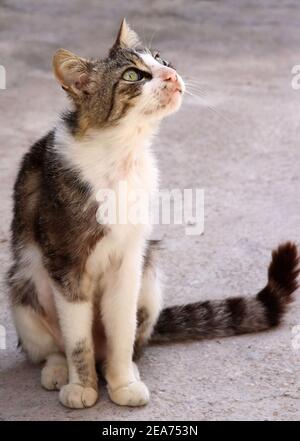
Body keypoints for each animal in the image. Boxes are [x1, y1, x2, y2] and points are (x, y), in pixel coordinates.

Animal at [8, 18, 298, 408]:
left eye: (160, 59)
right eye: (133, 75)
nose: (172, 74)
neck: (121, 156)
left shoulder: (130, 261)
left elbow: (121, 331)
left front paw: (120, 382)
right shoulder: (66, 263)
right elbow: (78, 340)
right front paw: (82, 386)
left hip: (150, 276)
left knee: (132, 341)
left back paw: (123, 367)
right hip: (23, 285)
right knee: (51, 345)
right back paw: (57, 370)